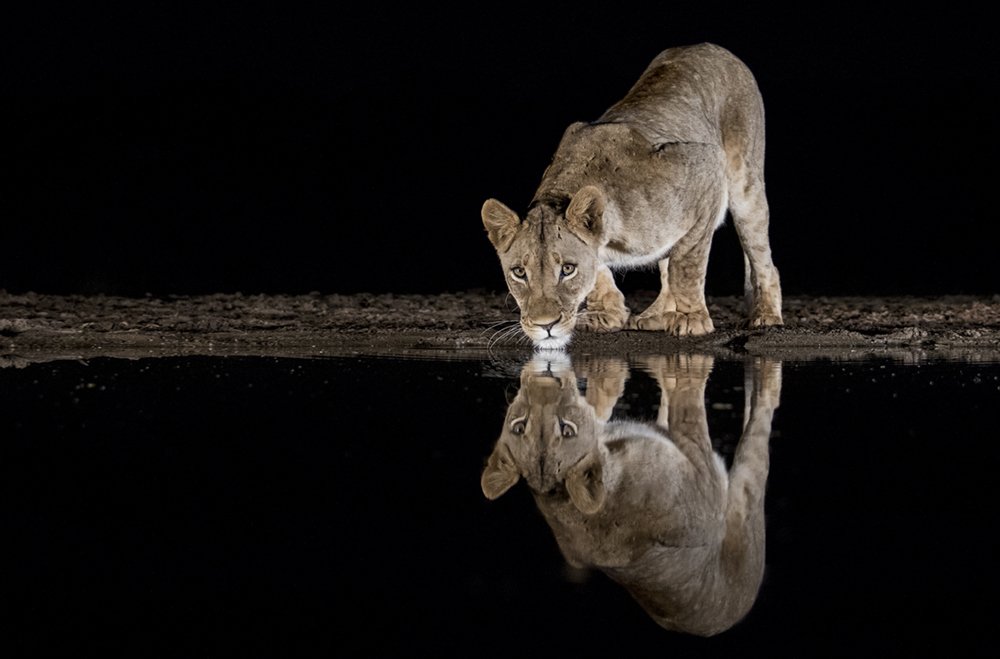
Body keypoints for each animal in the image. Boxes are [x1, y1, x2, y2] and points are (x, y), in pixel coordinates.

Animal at [480, 353, 782, 636]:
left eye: (518, 426)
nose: (545, 380)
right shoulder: (704, 481)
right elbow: (688, 405)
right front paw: (688, 371)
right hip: (746, 519)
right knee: (759, 422)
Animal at [482, 43, 783, 350]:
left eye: (567, 269)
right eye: (519, 272)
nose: (546, 326)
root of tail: (708, 46)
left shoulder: (705, 168)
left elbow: (686, 266)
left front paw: (692, 319)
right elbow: (606, 270)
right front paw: (606, 313)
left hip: (745, 183)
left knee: (761, 258)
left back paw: (766, 316)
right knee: (667, 263)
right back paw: (656, 316)